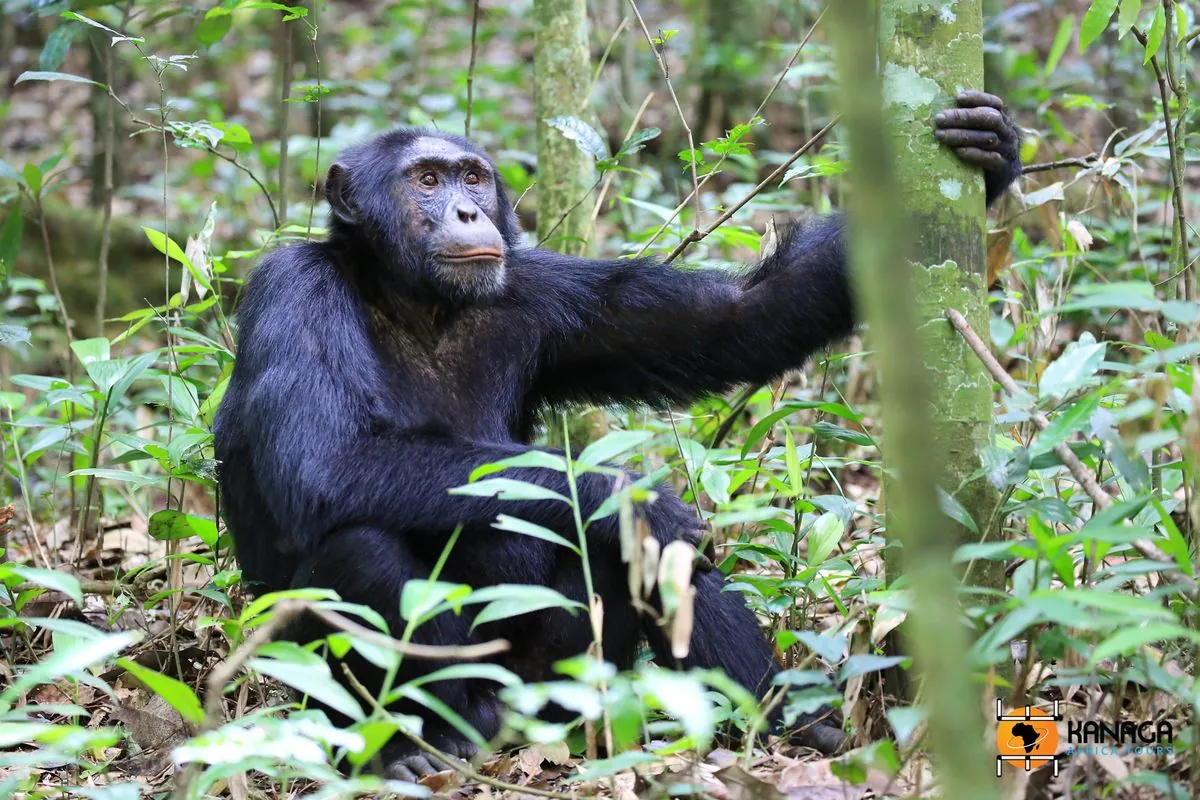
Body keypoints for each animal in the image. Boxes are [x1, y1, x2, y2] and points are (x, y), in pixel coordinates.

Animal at [213, 90, 1022, 777]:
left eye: (472, 177)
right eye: (427, 180)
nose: (468, 211)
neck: (417, 303)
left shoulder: (542, 292)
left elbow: (734, 321)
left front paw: (992, 154)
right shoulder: (294, 291)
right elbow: (327, 463)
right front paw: (627, 494)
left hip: (551, 689)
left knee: (658, 569)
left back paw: (797, 724)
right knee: (359, 548)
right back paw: (409, 749)